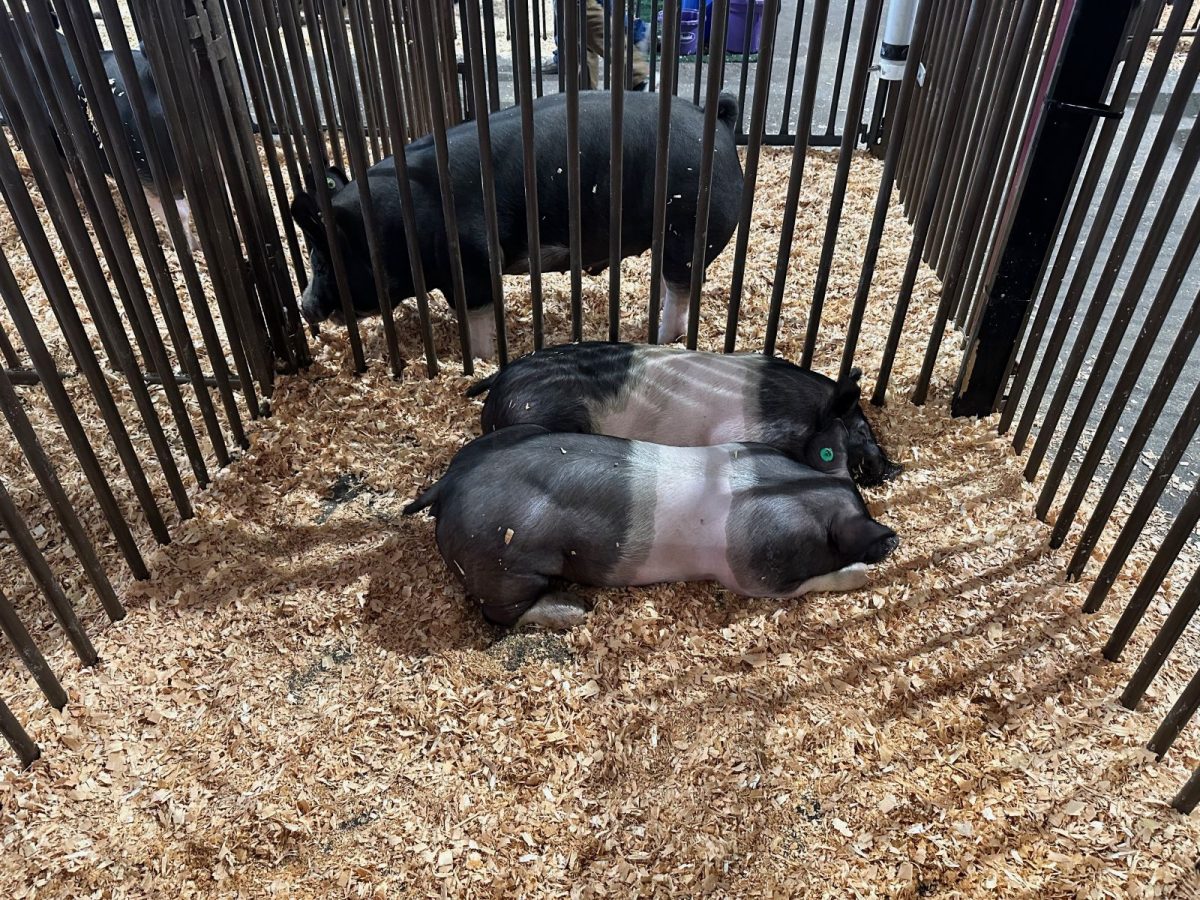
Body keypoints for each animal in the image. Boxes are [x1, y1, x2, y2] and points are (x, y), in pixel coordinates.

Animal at [289, 90, 745, 358]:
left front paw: (479, 358)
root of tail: (720, 124)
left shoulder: (473, 259)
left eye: (322, 260)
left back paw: (664, 338)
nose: (304, 305)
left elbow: (477, 314)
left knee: (680, 286)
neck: (395, 227)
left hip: (687, 229)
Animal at [402, 423, 899, 629]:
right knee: (501, 614)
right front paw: (862, 574)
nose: (890, 540)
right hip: (503, 560)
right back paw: (575, 609)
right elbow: (806, 584)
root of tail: (447, 485)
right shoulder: (757, 573)